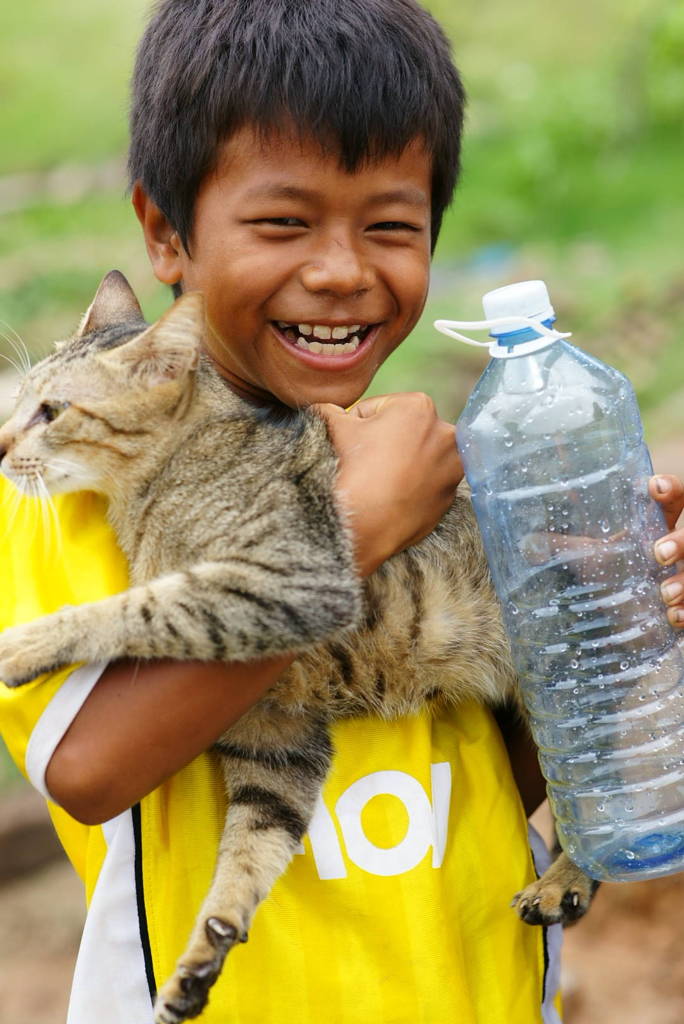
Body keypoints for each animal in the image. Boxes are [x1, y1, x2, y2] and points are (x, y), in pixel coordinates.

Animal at [0, 272, 593, 1024]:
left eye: (51, 411)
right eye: (17, 400)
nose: (0, 443)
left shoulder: (289, 580)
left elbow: (144, 604)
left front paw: (29, 641)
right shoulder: (273, 733)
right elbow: (250, 850)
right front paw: (205, 948)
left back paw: (568, 877)